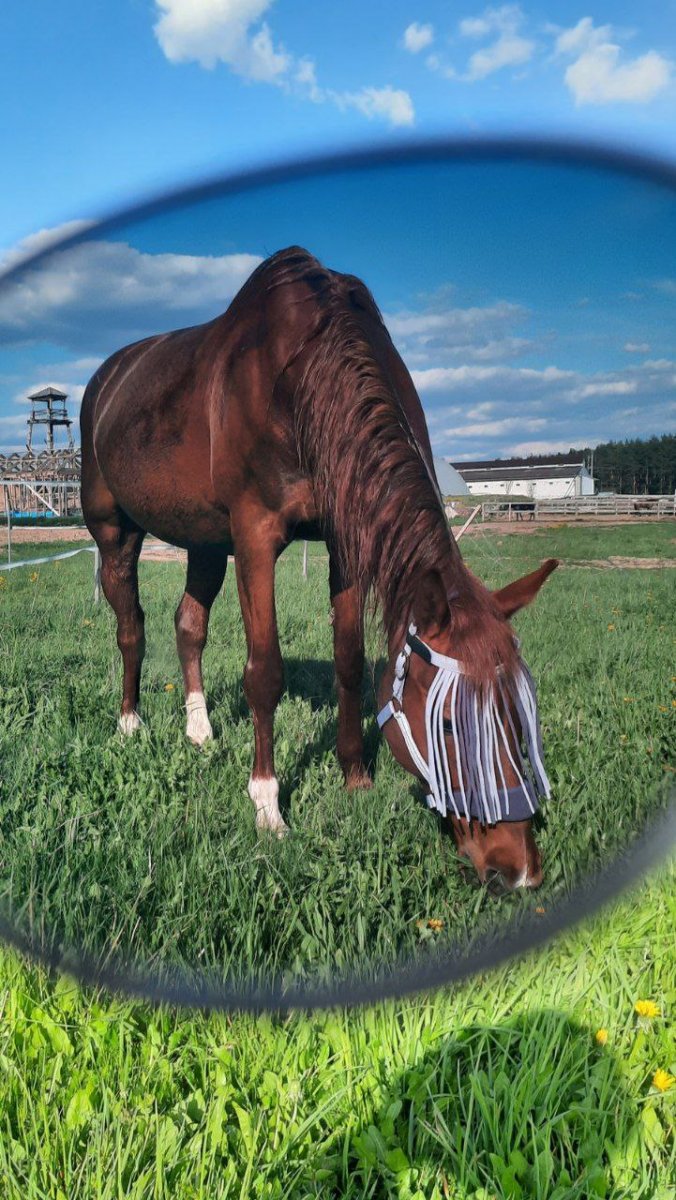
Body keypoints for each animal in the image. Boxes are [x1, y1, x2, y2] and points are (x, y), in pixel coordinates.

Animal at [80, 243, 554, 892]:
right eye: (449, 724)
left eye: (516, 712)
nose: (518, 867)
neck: (305, 377)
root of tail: (107, 378)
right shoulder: (256, 539)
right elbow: (265, 673)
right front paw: (267, 806)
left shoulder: (344, 539)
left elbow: (349, 661)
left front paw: (355, 775)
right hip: (115, 534)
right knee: (131, 627)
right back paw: (130, 723)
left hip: (205, 541)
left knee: (188, 625)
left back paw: (200, 732)